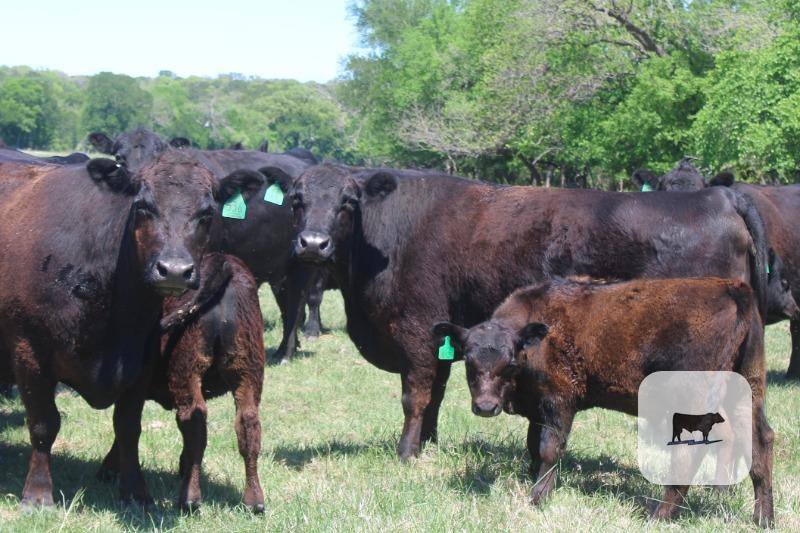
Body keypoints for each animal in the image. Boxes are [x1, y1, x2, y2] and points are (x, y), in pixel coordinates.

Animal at [97, 254, 266, 512]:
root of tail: (224, 264)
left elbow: (125, 426)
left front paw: (110, 468)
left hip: (187, 368)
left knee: (193, 421)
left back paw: (190, 498)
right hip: (247, 370)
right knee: (247, 423)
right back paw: (254, 500)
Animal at [283, 163, 768, 460]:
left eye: (348, 202)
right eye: (295, 200)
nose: (312, 244)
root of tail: (721, 196)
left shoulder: (417, 331)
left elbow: (416, 395)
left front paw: (407, 453)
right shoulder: (444, 335)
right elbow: (436, 394)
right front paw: (430, 444)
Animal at [433, 277, 773, 526]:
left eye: (510, 362)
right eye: (469, 361)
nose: (485, 406)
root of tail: (731, 287)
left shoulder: (559, 399)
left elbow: (548, 448)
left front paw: (538, 498)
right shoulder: (538, 406)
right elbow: (533, 446)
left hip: (692, 398)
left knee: (690, 454)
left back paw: (659, 515)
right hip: (747, 392)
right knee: (760, 442)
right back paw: (763, 517)